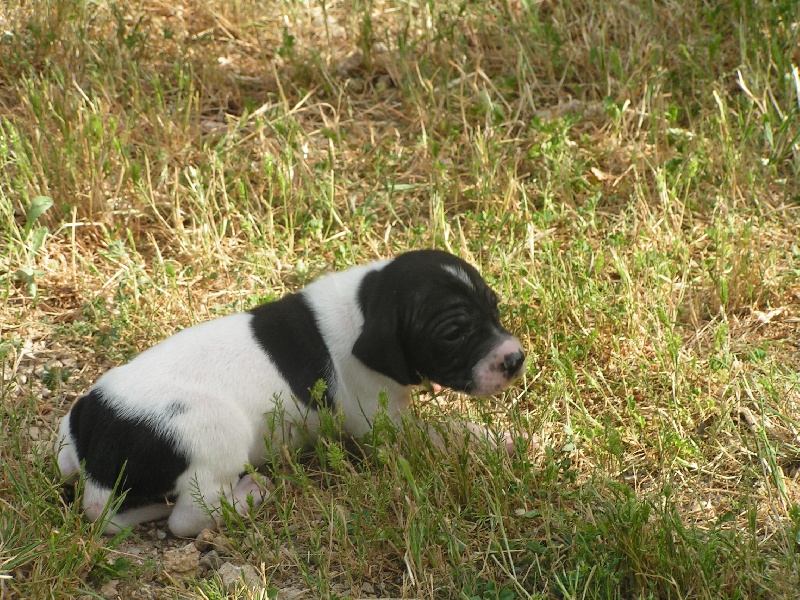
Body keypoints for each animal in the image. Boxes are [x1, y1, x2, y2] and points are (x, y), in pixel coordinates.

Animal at [57, 249, 525, 536]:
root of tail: (98, 450)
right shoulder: (383, 423)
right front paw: (495, 439)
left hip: (67, 437)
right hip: (215, 432)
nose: (515, 359)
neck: (364, 303)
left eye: (495, 307)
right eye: (453, 334)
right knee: (188, 518)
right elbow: (445, 431)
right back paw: (250, 494)